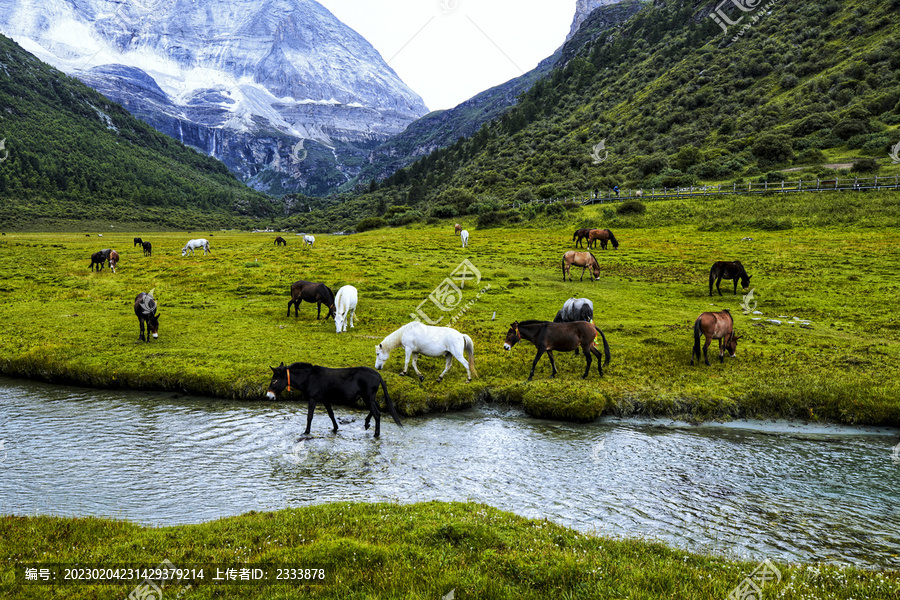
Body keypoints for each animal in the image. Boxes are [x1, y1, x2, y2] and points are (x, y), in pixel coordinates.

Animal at [266, 358, 402, 438]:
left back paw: (376, 434)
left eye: (274, 381)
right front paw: (335, 428)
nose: (268, 395)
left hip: (368, 397)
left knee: (377, 414)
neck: (309, 378)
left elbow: (309, 416)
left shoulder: (313, 399)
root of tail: (378, 374)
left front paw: (306, 432)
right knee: (375, 409)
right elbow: (331, 414)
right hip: (369, 397)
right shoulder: (325, 399)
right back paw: (367, 423)